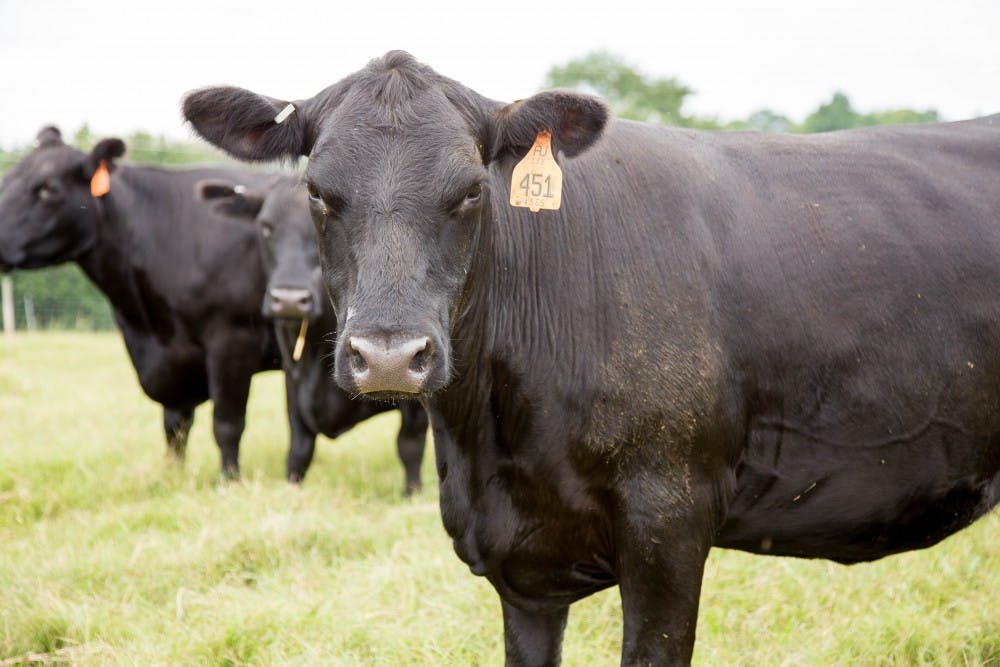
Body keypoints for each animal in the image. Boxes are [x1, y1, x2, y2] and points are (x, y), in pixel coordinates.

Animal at [0, 127, 282, 479]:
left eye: (48, 188)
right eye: (6, 180)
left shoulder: (233, 340)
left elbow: (227, 424)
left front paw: (229, 481)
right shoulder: (169, 363)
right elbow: (175, 426)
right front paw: (172, 475)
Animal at [195, 176, 429, 492]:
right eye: (266, 226)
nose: (289, 300)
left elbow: (410, 444)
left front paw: (411, 494)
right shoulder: (293, 377)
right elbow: (299, 447)